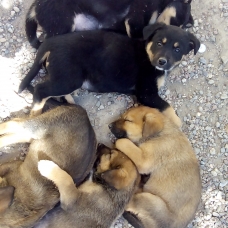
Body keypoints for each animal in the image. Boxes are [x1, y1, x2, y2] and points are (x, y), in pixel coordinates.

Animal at [18, 22, 200, 126]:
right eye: (159, 43)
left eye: (177, 49)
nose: (162, 62)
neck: (148, 56)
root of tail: (50, 43)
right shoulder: (147, 93)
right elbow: (168, 107)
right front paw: (178, 124)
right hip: (70, 78)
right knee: (40, 90)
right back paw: (35, 113)